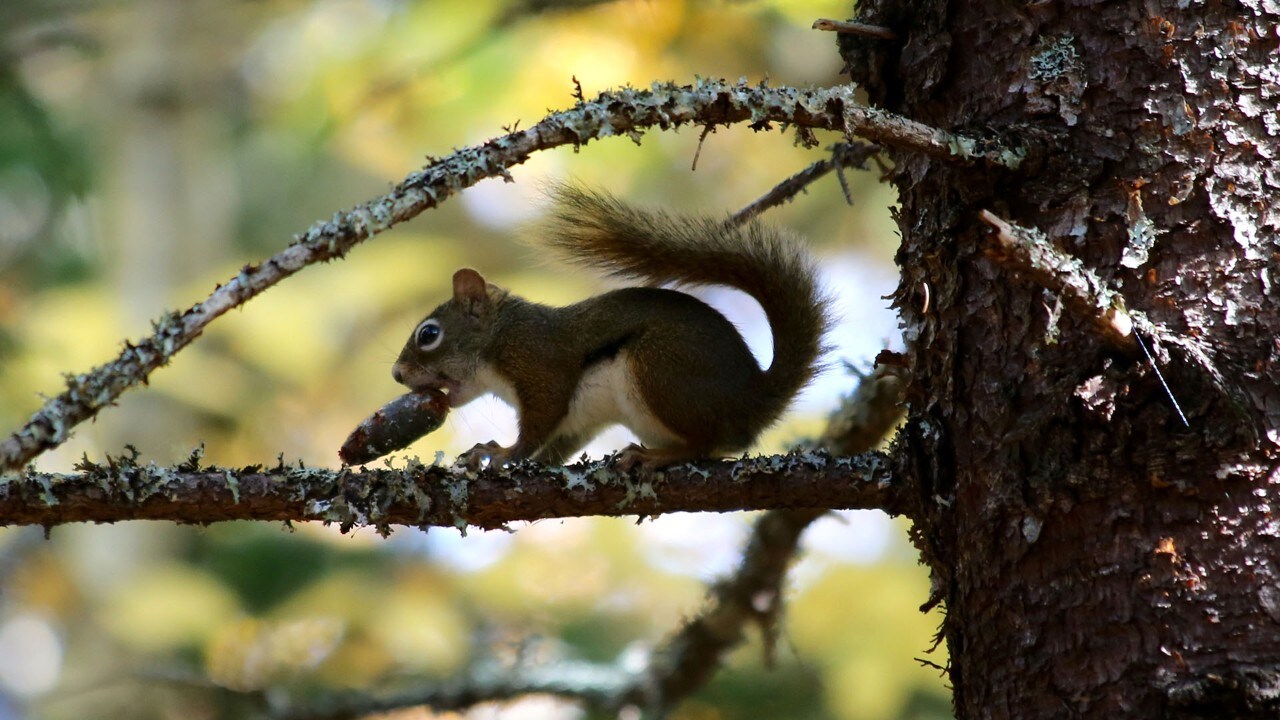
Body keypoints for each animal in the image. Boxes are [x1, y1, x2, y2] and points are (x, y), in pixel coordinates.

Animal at [389, 181, 829, 468]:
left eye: (429, 335)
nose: (396, 374)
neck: (501, 337)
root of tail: (752, 398)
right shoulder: (576, 424)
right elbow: (553, 448)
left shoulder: (539, 366)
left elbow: (537, 424)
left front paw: (501, 453)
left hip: (661, 371)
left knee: (705, 443)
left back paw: (655, 457)